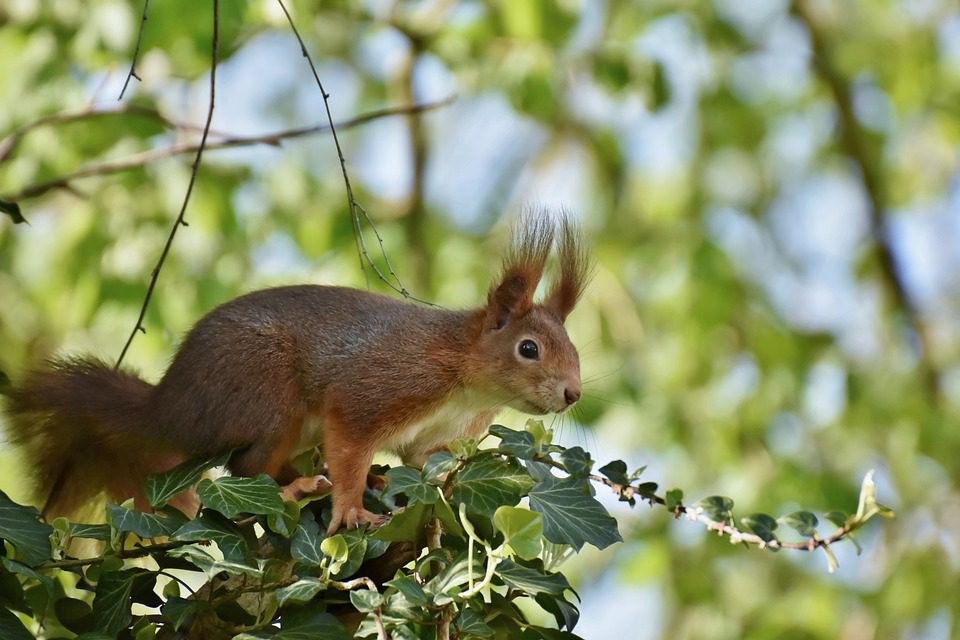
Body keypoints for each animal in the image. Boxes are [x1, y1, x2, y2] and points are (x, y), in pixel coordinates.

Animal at [5, 212, 592, 532]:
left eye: (574, 348)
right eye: (529, 349)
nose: (572, 394)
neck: (465, 382)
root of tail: (168, 408)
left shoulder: (433, 435)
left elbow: (422, 460)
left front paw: (454, 478)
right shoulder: (382, 387)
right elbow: (351, 439)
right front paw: (352, 510)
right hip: (266, 392)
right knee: (246, 467)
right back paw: (299, 489)